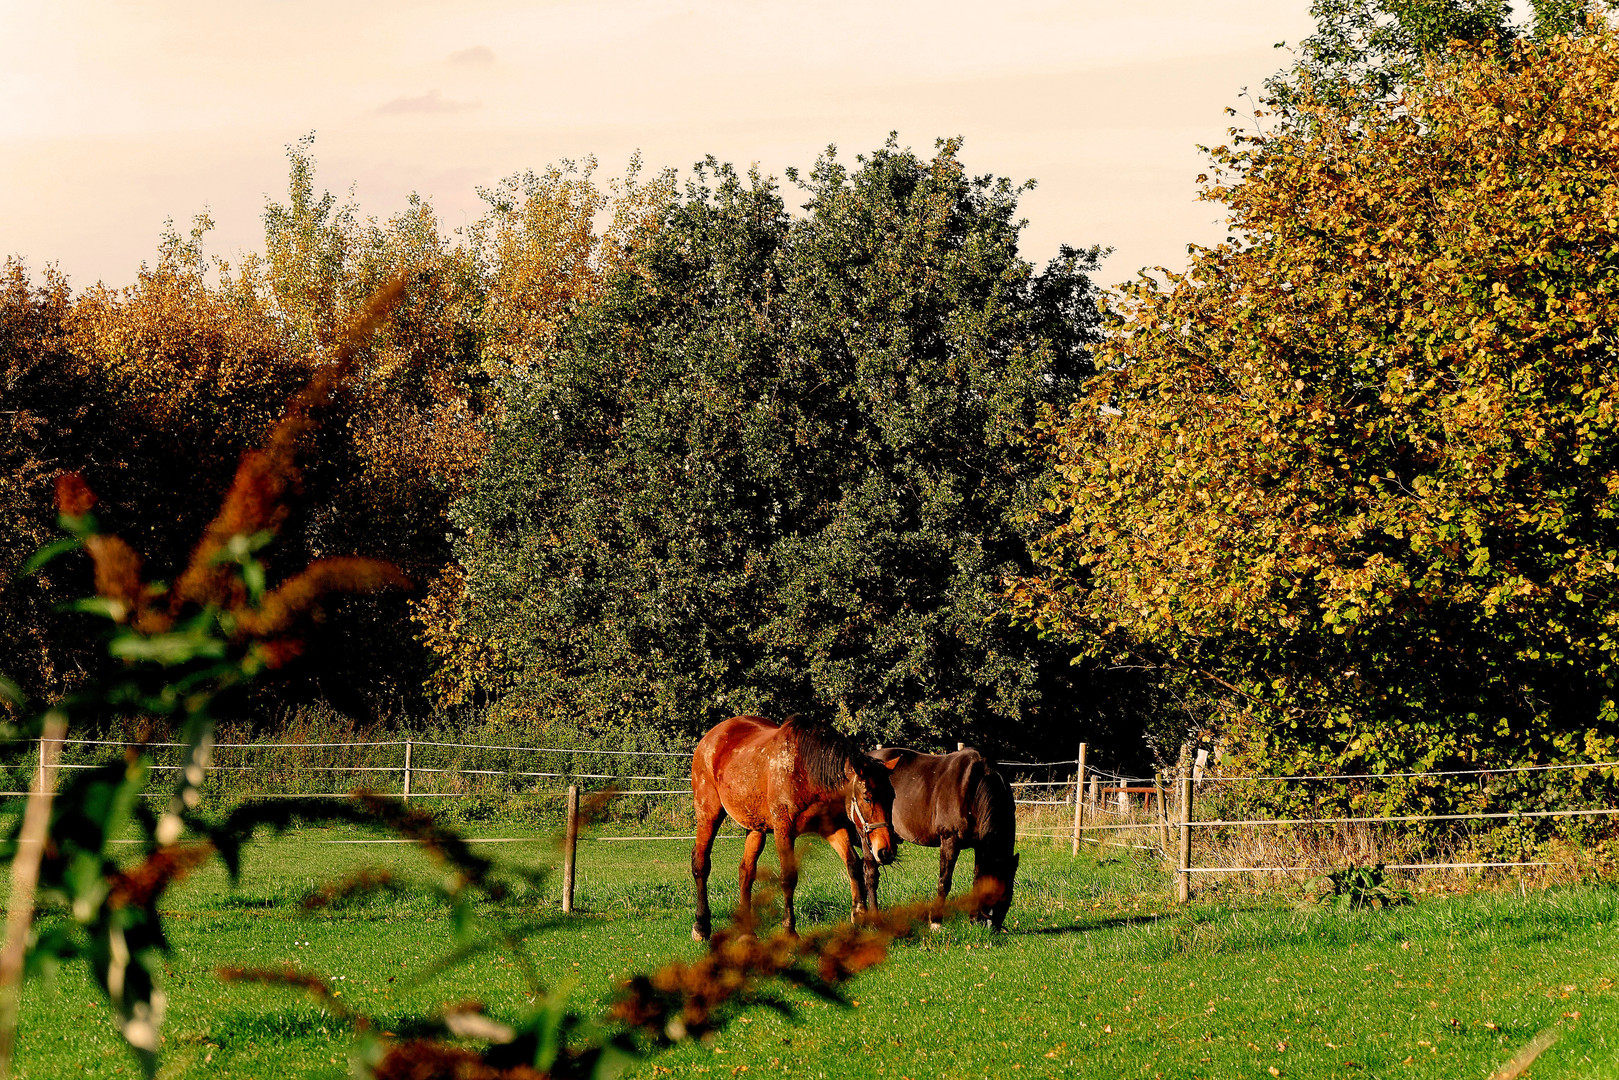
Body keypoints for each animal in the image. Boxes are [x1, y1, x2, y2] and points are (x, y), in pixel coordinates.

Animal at [692, 718, 906, 939]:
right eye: (867, 798)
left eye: (892, 797)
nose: (887, 851)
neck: (805, 773)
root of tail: (710, 737)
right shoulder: (784, 830)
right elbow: (788, 877)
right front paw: (789, 929)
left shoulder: (832, 827)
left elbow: (853, 864)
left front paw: (859, 914)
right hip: (708, 814)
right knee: (701, 863)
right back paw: (701, 925)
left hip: (756, 827)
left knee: (746, 871)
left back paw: (746, 932)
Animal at [854, 751, 1016, 932]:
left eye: (1008, 893)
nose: (992, 927)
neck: (973, 786)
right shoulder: (949, 840)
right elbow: (944, 881)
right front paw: (936, 921)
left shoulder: (980, 845)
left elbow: (977, 878)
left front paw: (973, 919)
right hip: (867, 838)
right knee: (870, 875)